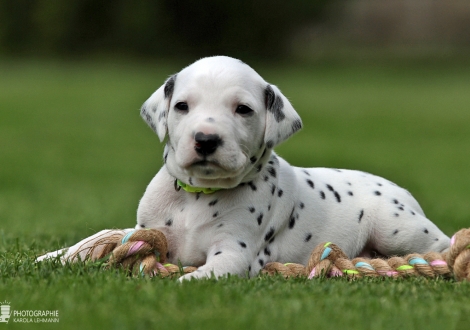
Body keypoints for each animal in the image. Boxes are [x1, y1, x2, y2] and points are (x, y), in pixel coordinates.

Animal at [38, 55, 450, 280]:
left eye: (243, 109)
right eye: (182, 106)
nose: (206, 140)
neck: (197, 195)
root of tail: (401, 191)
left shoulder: (234, 253)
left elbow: (205, 274)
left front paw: (184, 281)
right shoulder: (147, 230)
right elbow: (99, 239)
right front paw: (54, 256)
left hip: (398, 228)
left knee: (440, 244)